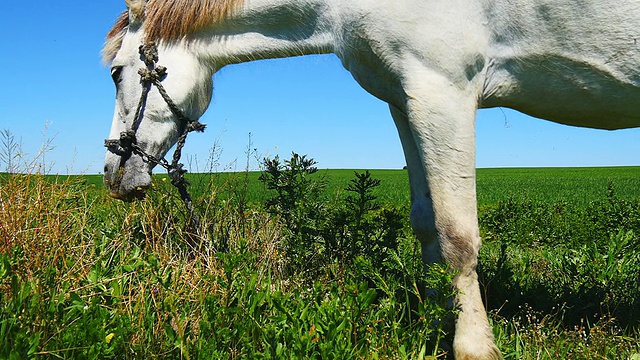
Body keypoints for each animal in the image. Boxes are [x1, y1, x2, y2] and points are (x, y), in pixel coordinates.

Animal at [102, 1, 640, 358]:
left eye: (116, 72)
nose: (112, 173)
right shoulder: (406, 100)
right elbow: (427, 225)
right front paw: (435, 322)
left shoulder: (442, 90)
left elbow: (456, 235)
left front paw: (472, 345)